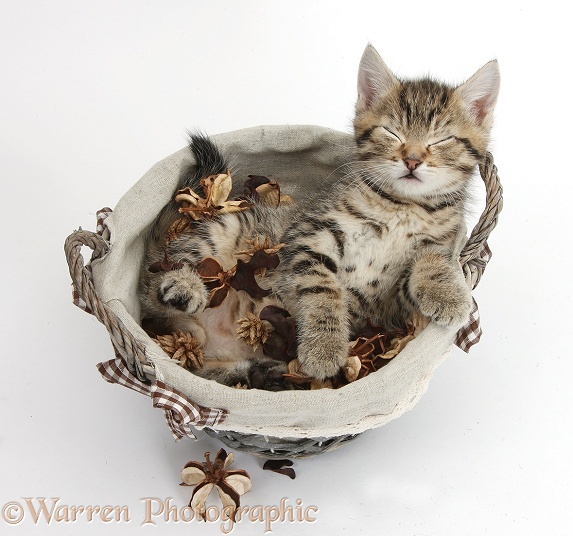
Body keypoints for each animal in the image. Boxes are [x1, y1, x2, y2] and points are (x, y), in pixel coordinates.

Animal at [139, 45, 496, 390]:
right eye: (391, 133)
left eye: (442, 139)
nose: (411, 160)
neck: (402, 206)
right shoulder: (308, 236)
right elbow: (322, 289)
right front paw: (324, 348)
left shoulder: (391, 302)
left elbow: (432, 258)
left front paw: (448, 295)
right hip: (225, 230)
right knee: (152, 290)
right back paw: (182, 287)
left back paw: (261, 372)